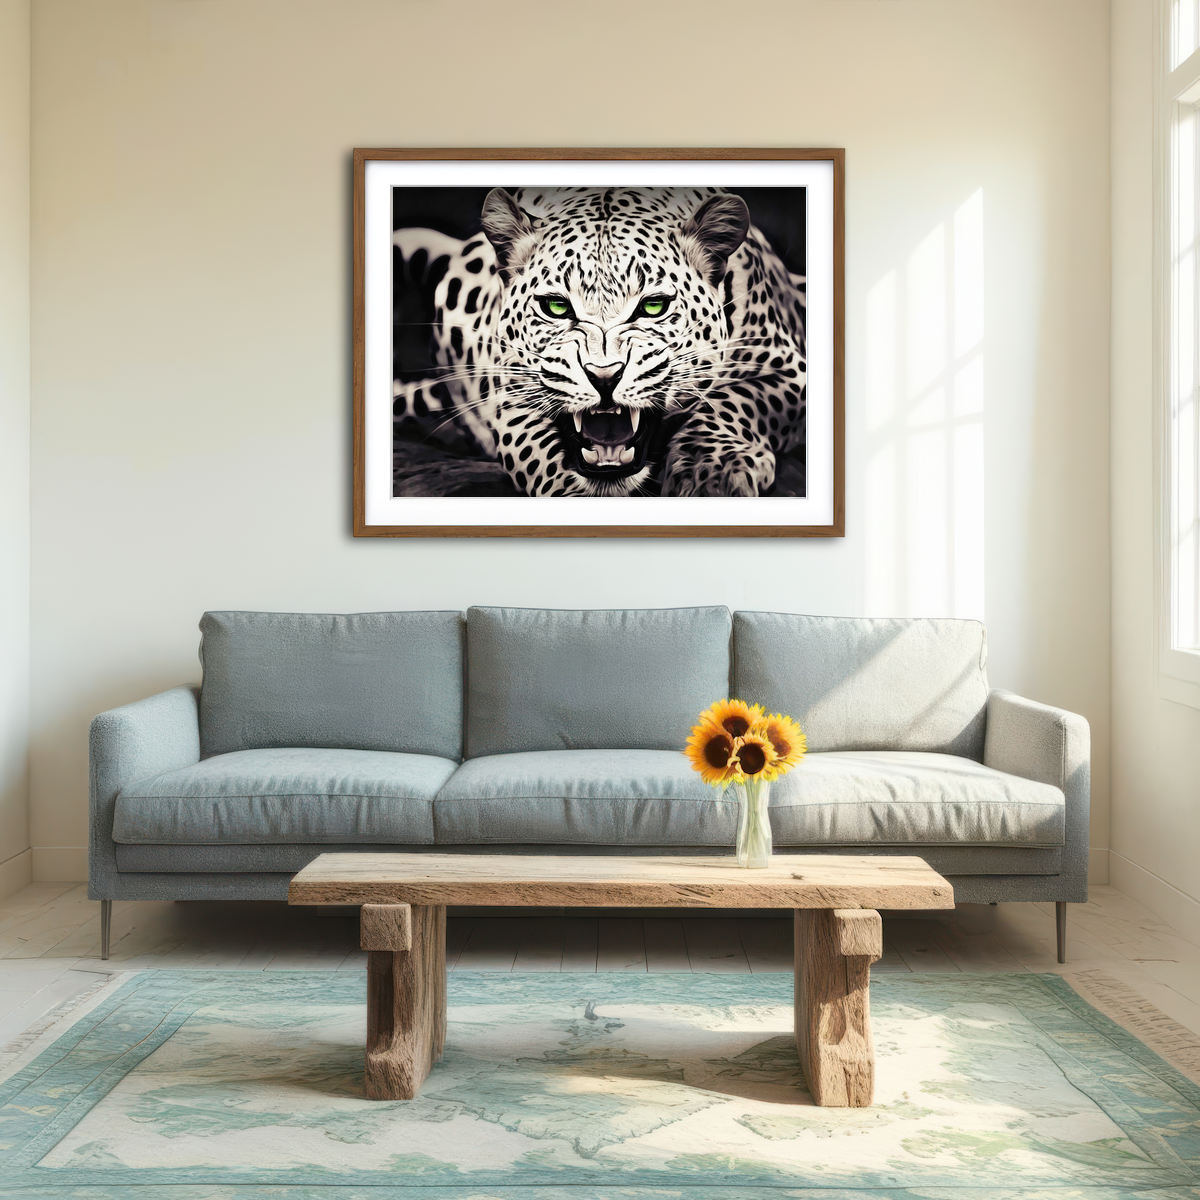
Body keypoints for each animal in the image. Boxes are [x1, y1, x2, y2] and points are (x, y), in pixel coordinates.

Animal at [391, 186, 807, 497]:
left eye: (653, 306)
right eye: (556, 306)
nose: (604, 377)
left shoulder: (788, 370)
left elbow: (733, 401)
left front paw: (712, 471)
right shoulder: (511, 397)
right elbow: (540, 453)